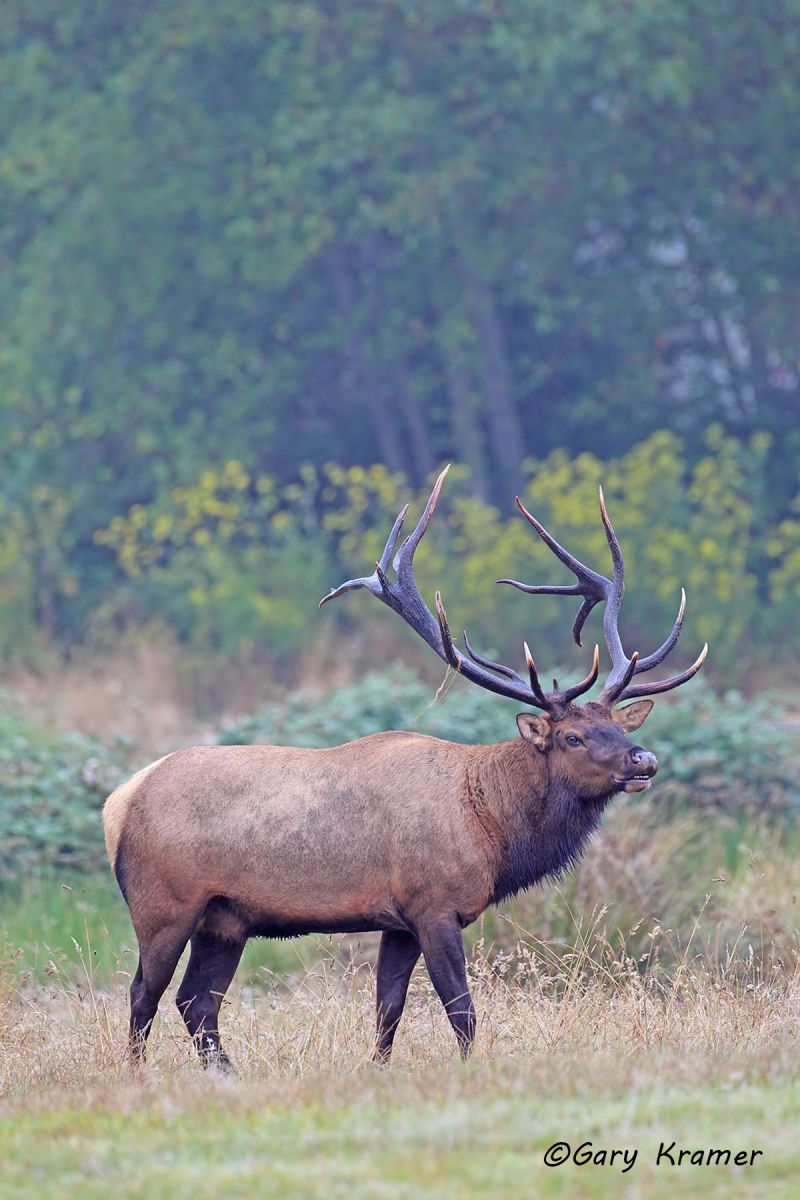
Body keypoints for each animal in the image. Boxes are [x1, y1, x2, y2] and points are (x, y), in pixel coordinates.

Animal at [103, 466, 706, 1070]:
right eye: (572, 737)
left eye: (621, 729)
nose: (644, 759)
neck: (491, 827)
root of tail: (119, 802)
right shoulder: (434, 903)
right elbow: (460, 1008)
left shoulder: (399, 922)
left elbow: (388, 1007)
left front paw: (379, 1070)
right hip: (164, 904)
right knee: (144, 992)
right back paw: (137, 1072)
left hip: (227, 919)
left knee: (196, 1000)